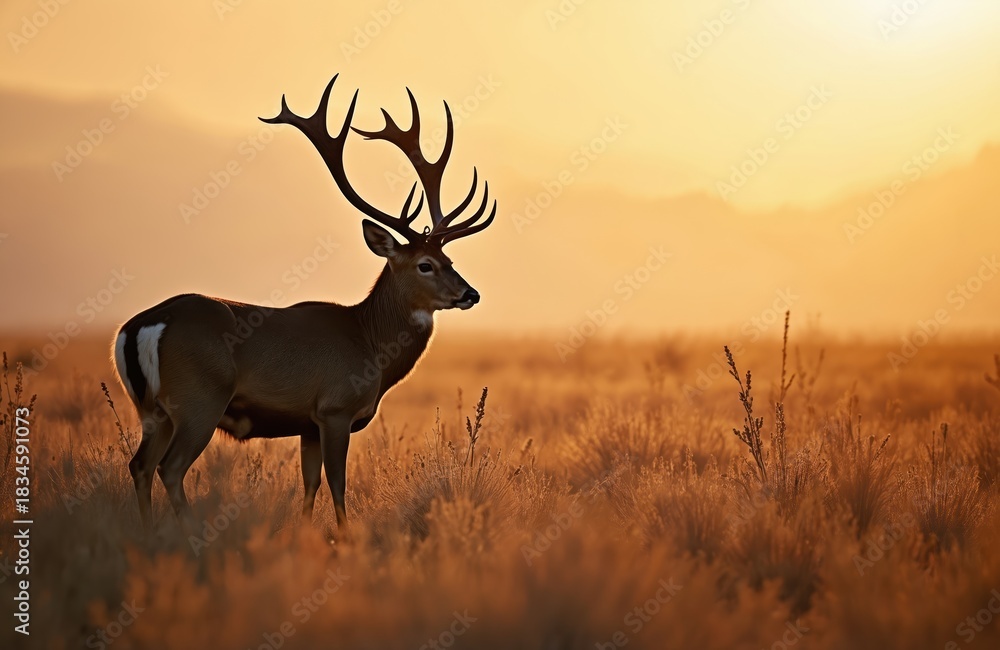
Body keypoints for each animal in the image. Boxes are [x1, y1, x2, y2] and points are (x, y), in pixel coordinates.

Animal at [111, 74, 496, 532]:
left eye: (450, 260)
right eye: (425, 265)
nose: (471, 294)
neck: (369, 344)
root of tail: (144, 326)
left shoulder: (307, 424)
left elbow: (310, 484)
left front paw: (307, 532)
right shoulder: (334, 408)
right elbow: (337, 483)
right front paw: (344, 536)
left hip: (153, 410)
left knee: (139, 465)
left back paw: (148, 530)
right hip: (199, 400)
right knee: (169, 468)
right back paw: (189, 531)